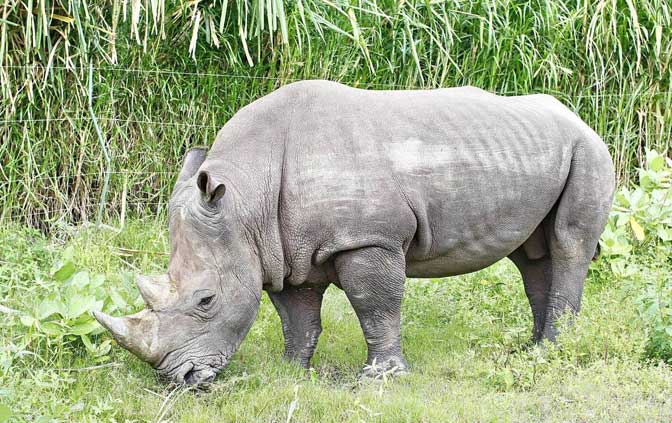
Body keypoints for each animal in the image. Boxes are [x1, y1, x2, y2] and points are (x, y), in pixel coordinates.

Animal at [94, 80, 615, 385]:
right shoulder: (281, 250)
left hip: (589, 148)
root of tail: (577, 115)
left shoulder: (368, 238)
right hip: (536, 149)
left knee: (568, 245)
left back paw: (553, 350)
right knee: (532, 255)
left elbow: (374, 304)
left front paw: (380, 379)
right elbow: (297, 315)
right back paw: (533, 349)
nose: (179, 378)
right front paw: (291, 372)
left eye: (206, 301)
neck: (244, 201)